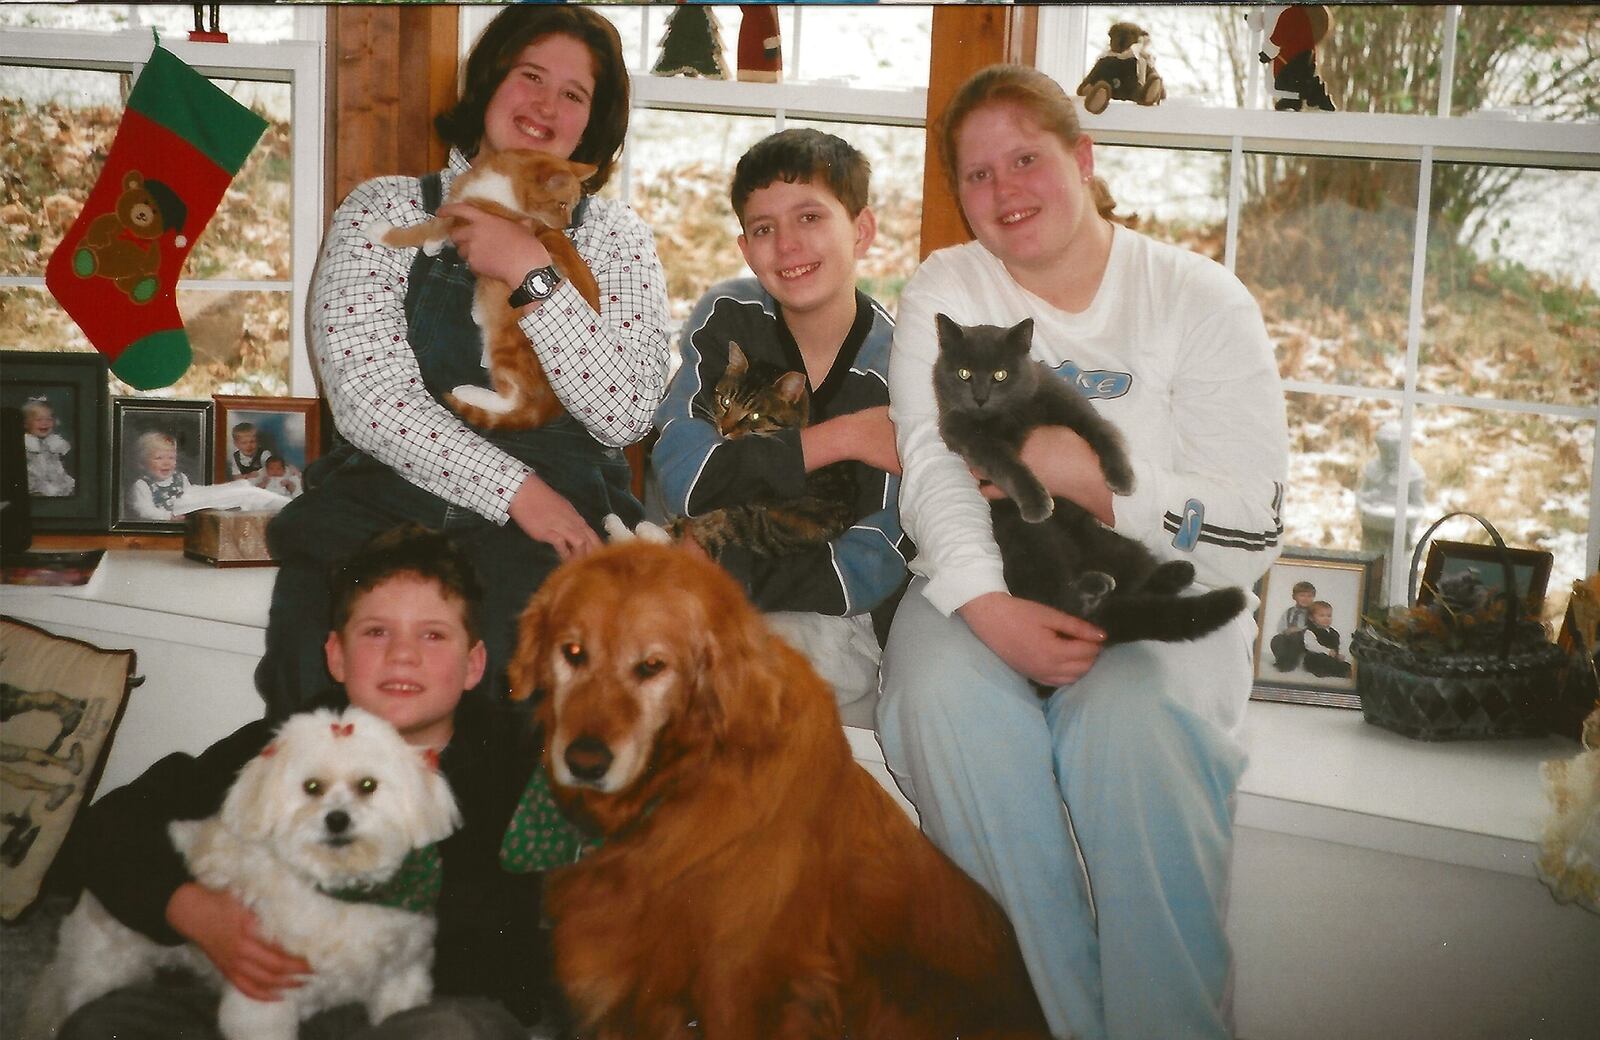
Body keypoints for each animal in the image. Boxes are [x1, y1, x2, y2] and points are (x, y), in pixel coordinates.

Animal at [25, 704, 464, 1036]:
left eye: (368, 785)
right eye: (312, 787)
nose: (337, 820)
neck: (340, 893)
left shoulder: (401, 980)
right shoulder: (263, 1006)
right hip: (98, 972)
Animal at [366, 148, 601, 428]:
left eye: (571, 207)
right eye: (563, 204)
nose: (566, 225)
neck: (499, 186)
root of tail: (552, 405)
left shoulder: (468, 220)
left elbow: (428, 227)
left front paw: (386, 234)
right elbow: (439, 224)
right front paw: (433, 245)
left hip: (507, 342)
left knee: (514, 397)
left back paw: (467, 391)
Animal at [928, 312, 1248, 656]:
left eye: (1000, 375)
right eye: (963, 374)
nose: (980, 397)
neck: (1007, 415)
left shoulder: (1068, 405)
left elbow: (1102, 432)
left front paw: (1123, 479)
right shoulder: (967, 438)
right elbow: (1008, 464)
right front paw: (1037, 502)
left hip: (1117, 544)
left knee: (1132, 585)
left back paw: (1174, 574)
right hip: (1028, 539)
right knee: (1065, 603)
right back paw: (1099, 585)